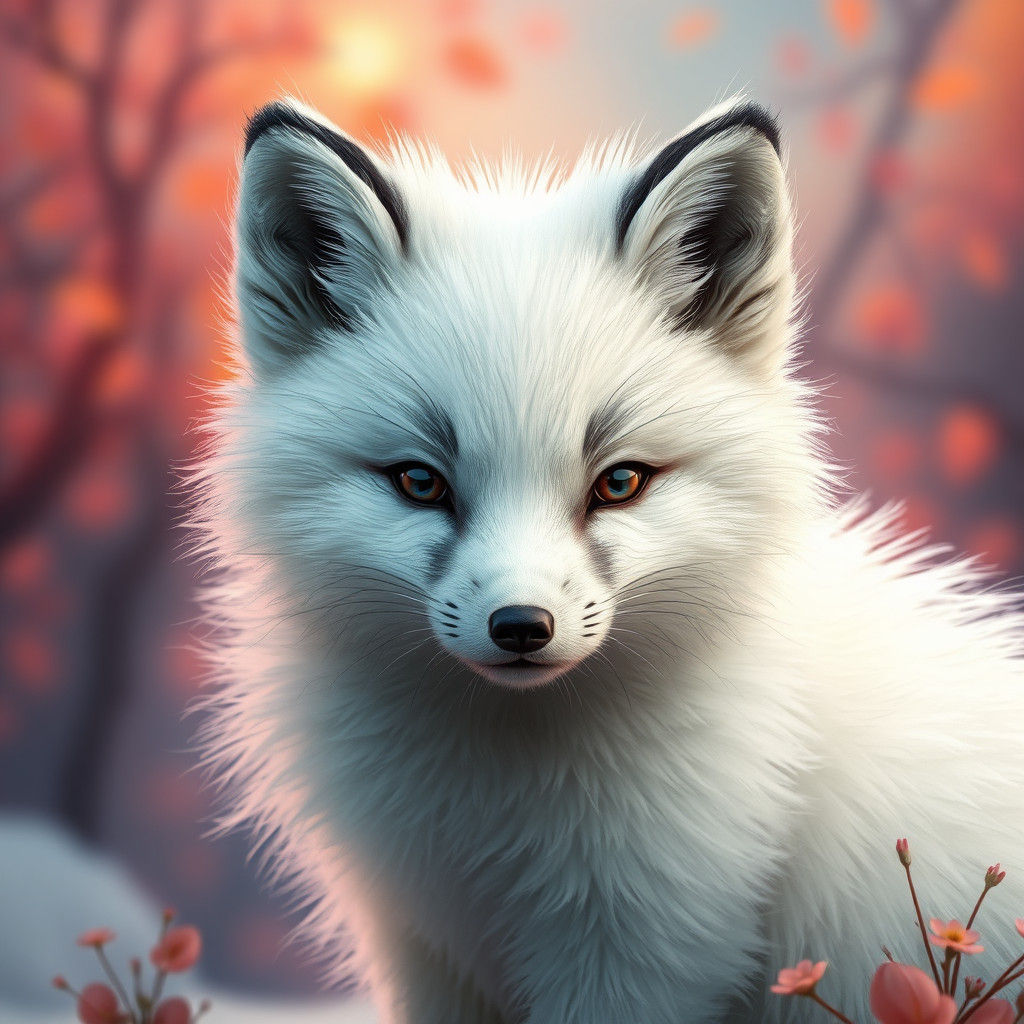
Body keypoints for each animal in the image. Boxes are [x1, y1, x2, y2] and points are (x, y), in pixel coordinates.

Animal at [191, 96, 1024, 1024]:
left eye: (619, 482)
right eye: (419, 481)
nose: (521, 626)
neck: (497, 811)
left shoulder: (644, 951)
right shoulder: (426, 948)